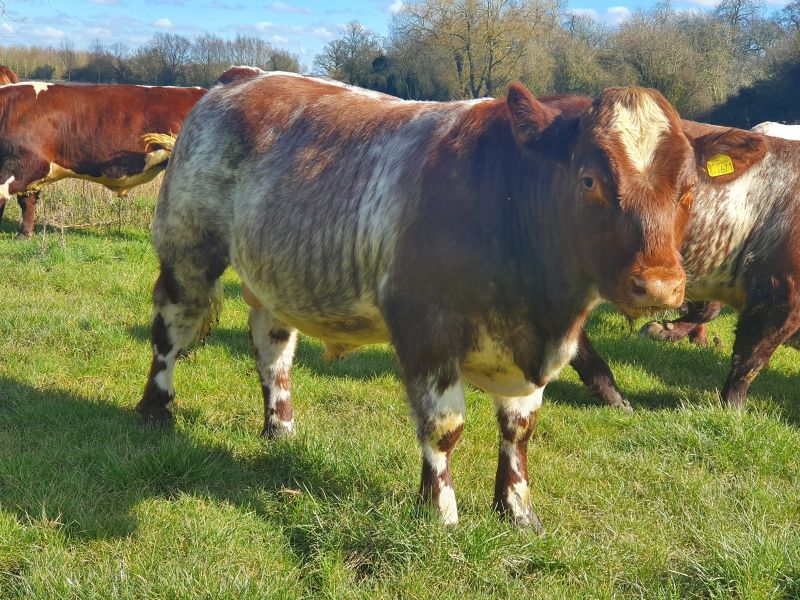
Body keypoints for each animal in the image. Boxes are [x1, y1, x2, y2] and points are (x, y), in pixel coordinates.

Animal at [572, 119, 800, 410]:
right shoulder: (781, 291)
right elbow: (750, 359)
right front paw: (733, 408)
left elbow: (709, 313)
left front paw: (666, 329)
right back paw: (611, 392)